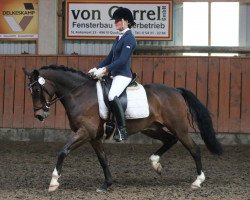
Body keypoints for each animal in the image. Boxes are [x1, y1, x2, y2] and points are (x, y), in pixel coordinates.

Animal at [23, 65, 223, 192]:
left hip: (178, 127)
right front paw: (107, 184)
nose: (39, 115)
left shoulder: (84, 132)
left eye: (37, 90)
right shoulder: (93, 137)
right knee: (169, 140)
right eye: (30, 91)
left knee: (194, 149)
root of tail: (176, 91)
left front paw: (53, 182)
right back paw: (156, 164)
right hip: (151, 127)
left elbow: (63, 151)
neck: (79, 94)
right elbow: (103, 159)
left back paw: (198, 181)